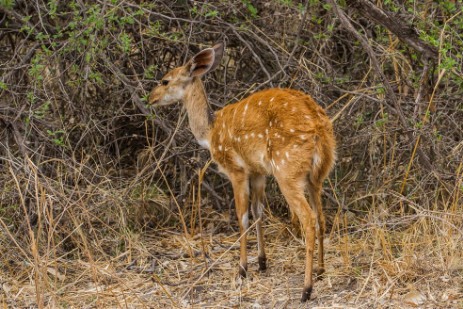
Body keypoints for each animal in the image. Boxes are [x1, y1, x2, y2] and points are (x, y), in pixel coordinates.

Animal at [150, 42, 336, 300]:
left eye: (165, 80)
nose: (151, 98)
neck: (210, 133)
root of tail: (319, 130)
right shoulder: (257, 171)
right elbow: (258, 211)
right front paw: (262, 262)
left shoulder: (236, 169)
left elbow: (242, 216)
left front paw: (242, 269)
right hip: (317, 176)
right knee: (321, 217)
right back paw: (320, 270)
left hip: (287, 171)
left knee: (308, 219)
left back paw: (306, 290)